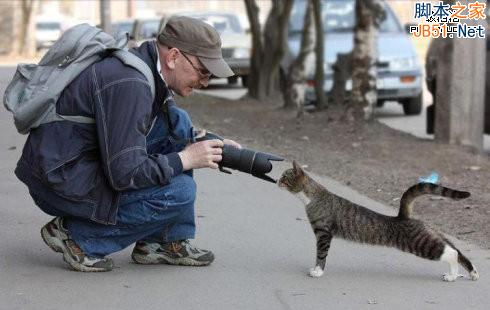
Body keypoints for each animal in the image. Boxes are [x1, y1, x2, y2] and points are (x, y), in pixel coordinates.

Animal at [280, 161, 478, 282]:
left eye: (284, 177)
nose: (277, 180)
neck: (313, 196)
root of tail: (404, 216)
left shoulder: (323, 234)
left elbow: (321, 255)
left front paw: (317, 271)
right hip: (432, 234)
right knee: (456, 250)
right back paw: (472, 273)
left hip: (421, 244)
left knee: (451, 253)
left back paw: (452, 276)